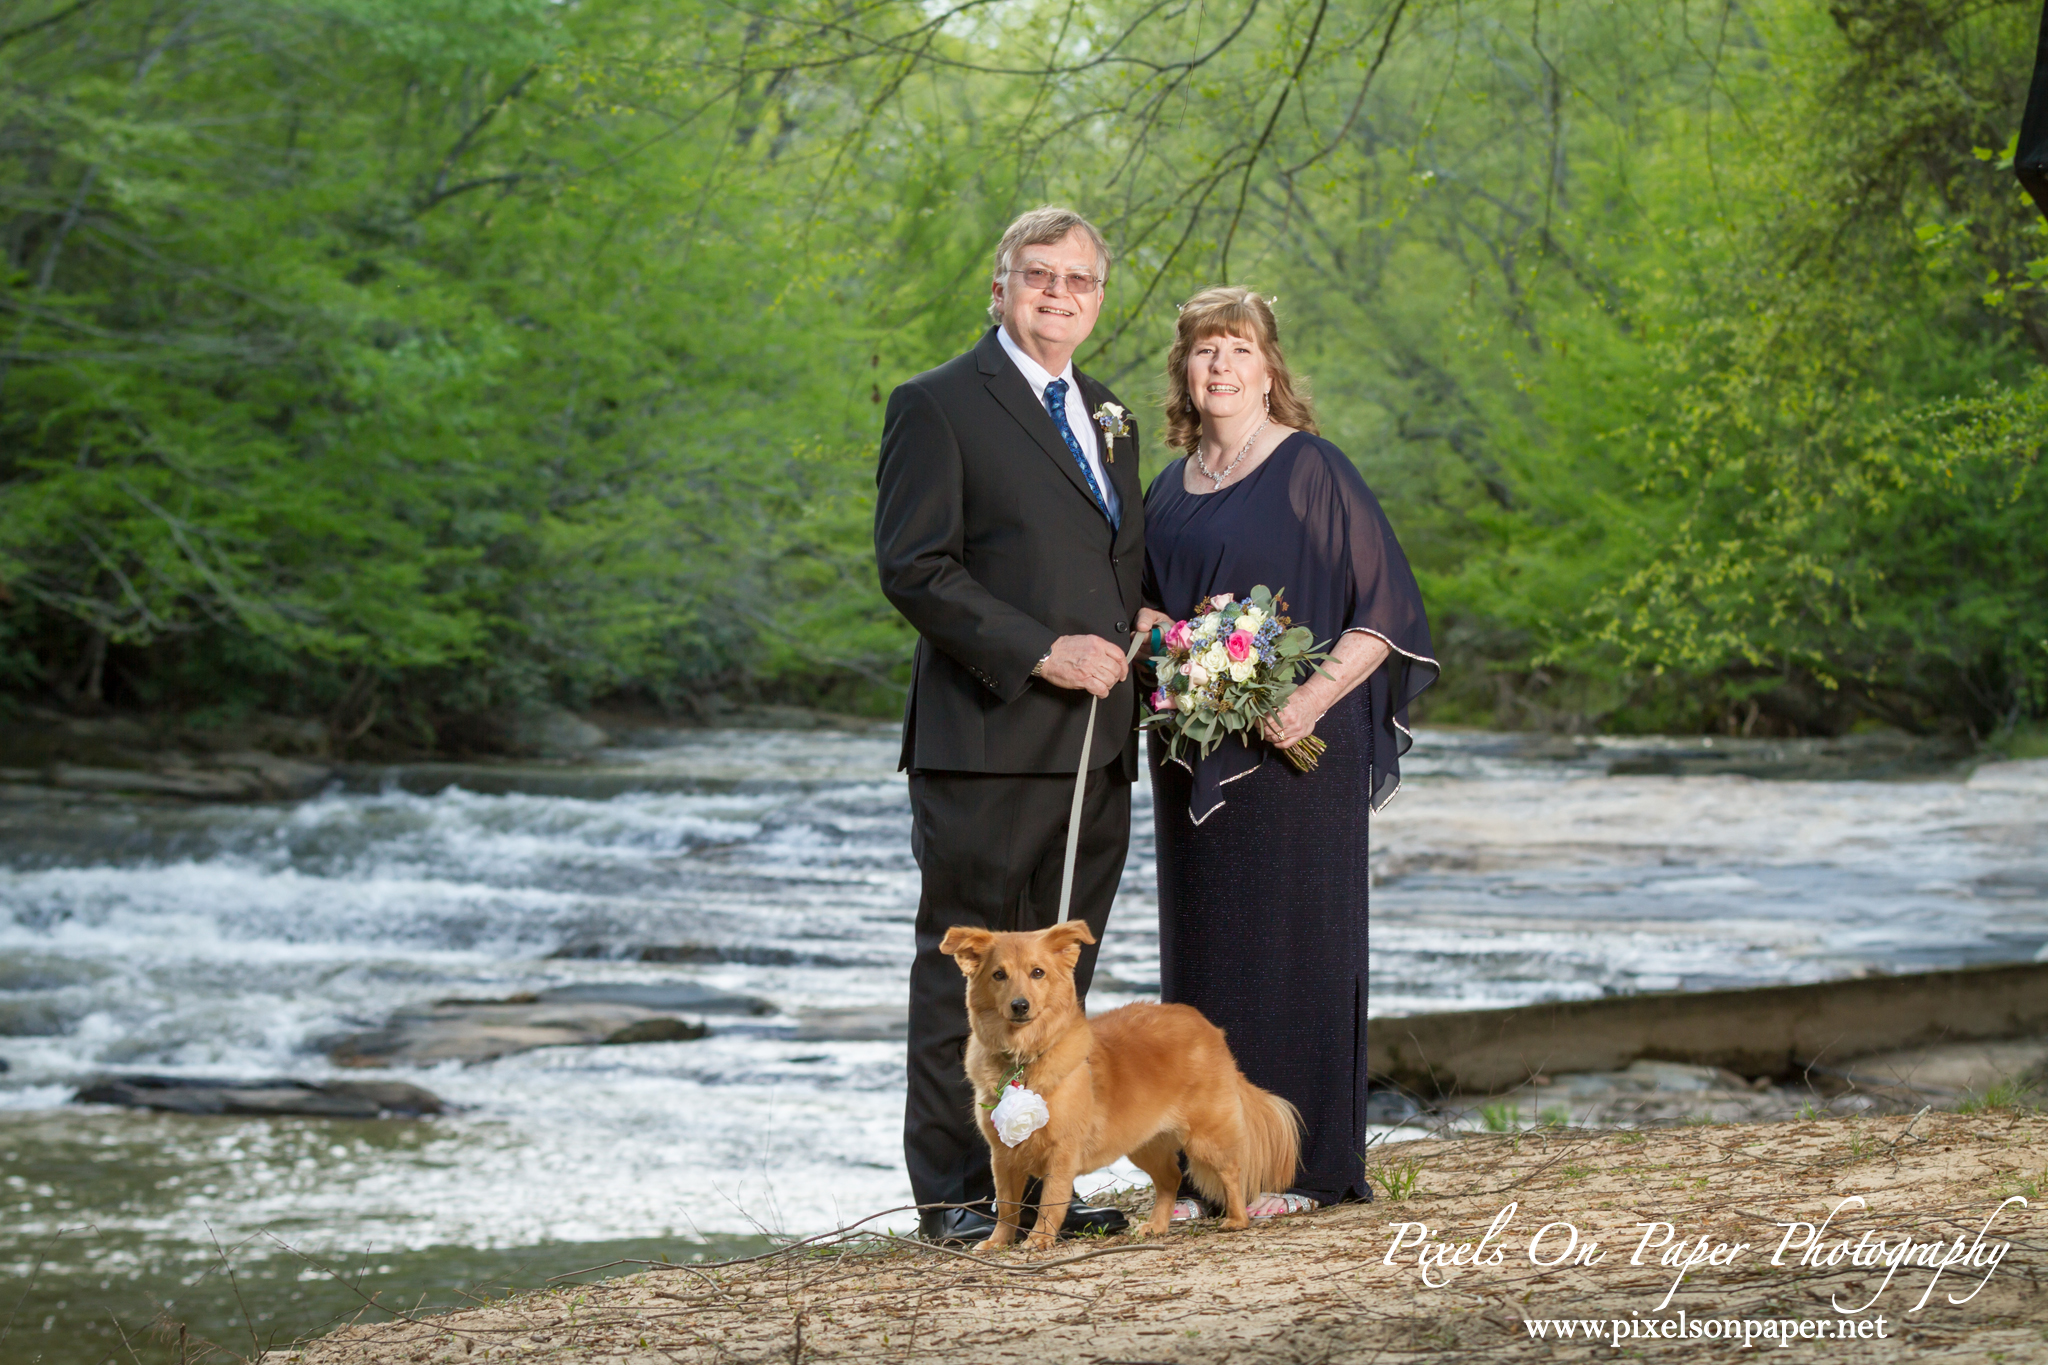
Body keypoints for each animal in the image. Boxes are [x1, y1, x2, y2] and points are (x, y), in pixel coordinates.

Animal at [937, 916, 1294, 1252]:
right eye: (999, 975)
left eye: (1038, 972)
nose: (1020, 1005)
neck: (1023, 1056)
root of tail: (1209, 1028)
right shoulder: (1002, 1155)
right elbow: (1007, 1205)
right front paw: (998, 1241)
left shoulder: (1062, 1153)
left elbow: (1049, 1201)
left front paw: (1038, 1239)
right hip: (1144, 1143)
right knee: (1171, 1178)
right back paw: (1157, 1225)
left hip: (1207, 1136)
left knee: (1232, 1173)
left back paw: (1237, 1219)